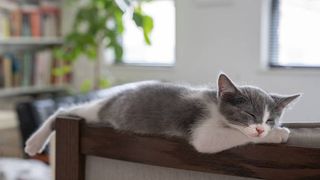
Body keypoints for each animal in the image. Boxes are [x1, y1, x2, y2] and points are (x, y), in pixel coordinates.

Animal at [24, 74, 300, 155]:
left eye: (269, 119)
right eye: (249, 114)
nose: (262, 128)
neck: (216, 107)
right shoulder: (201, 128)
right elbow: (217, 139)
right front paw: (277, 135)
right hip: (97, 112)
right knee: (63, 110)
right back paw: (34, 142)